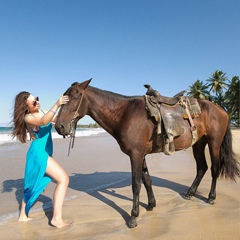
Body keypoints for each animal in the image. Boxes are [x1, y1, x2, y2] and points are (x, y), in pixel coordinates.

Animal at [55, 79, 239, 229]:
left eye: (75, 96)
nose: (59, 127)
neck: (124, 114)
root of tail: (222, 110)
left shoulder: (135, 155)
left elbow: (136, 184)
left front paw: (133, 217)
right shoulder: (140, 154)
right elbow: (147, 179)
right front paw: (151, 205)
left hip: (214, 144)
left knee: (214, 169)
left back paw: (211, 197)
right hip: (198, 144)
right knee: (202, 168)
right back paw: (189, 194)